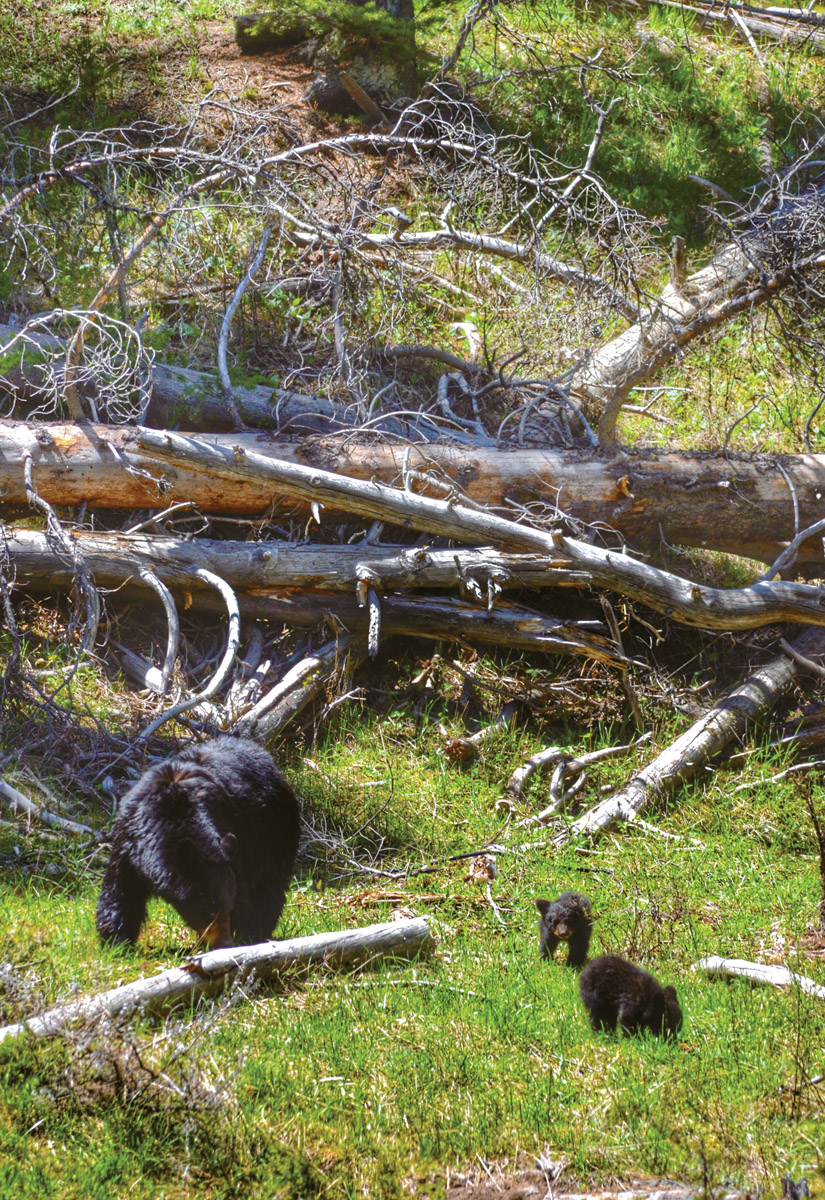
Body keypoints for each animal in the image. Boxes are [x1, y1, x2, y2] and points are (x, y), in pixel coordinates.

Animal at [96, 734, 300, 950]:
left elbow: (244, 893)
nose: (225, 943)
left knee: (268, 883)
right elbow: (121, 892)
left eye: (229, 906)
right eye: (209, 909)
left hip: (274, 832)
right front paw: (116, 941)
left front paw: (244, 934)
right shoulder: (129, 842)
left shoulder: (231, 837)